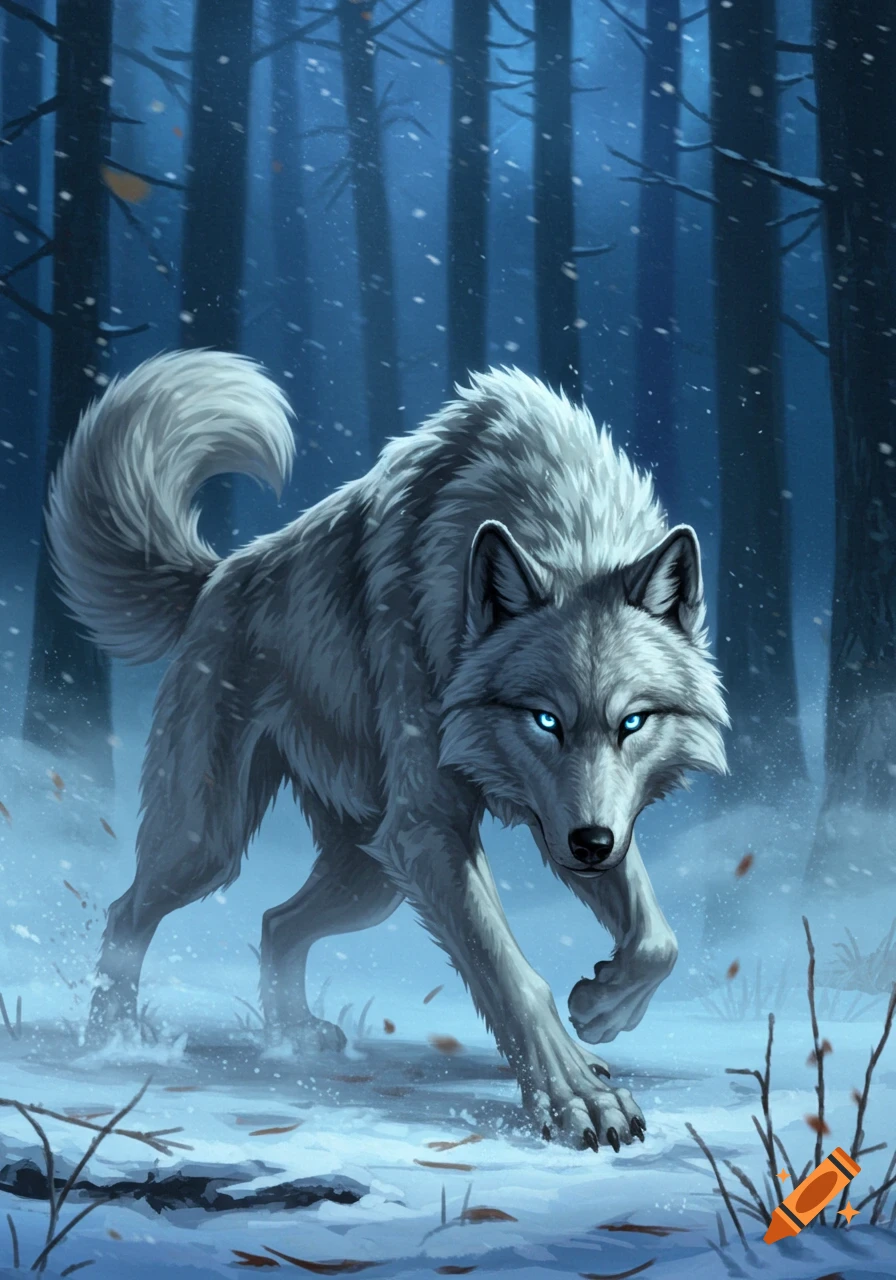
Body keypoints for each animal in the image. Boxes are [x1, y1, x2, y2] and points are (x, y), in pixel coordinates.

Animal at [47, 350, 728, 1151]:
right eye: (544, 720)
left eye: (633, 722)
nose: (590, 845)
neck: (561, 513)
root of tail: (217, 574)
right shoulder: (433, 827)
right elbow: (511, 973)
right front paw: (577, 1098)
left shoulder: (563, 820)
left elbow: (657, 937)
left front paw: (600, 1008)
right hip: (210, 845)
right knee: (128, 913)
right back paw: (113, 1041)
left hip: (372, 876)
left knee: (275, 922)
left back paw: (292, 1041)